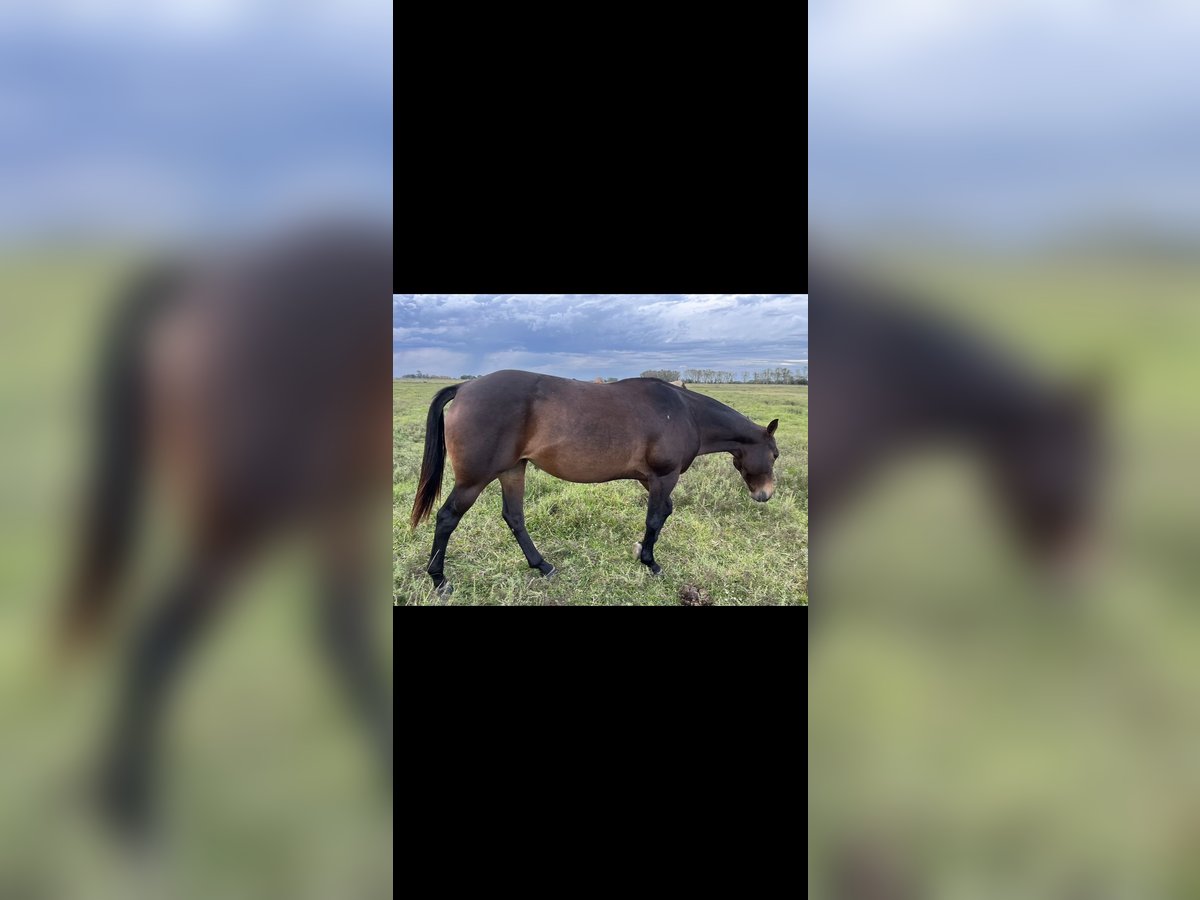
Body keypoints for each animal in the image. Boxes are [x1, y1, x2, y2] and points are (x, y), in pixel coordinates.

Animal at [405, 369, 777, 595]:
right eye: (774, 455)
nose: (766, 494)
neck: (685, 412)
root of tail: (465, 387)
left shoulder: (650, 479)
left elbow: (664, 513)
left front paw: (641, 551)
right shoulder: (663, 477)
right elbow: (655, 518)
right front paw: (651, 563)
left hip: (512, 470)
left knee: (514, 518)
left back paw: (543, 566)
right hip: (474, 479)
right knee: (447, 518)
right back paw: (439, 579)